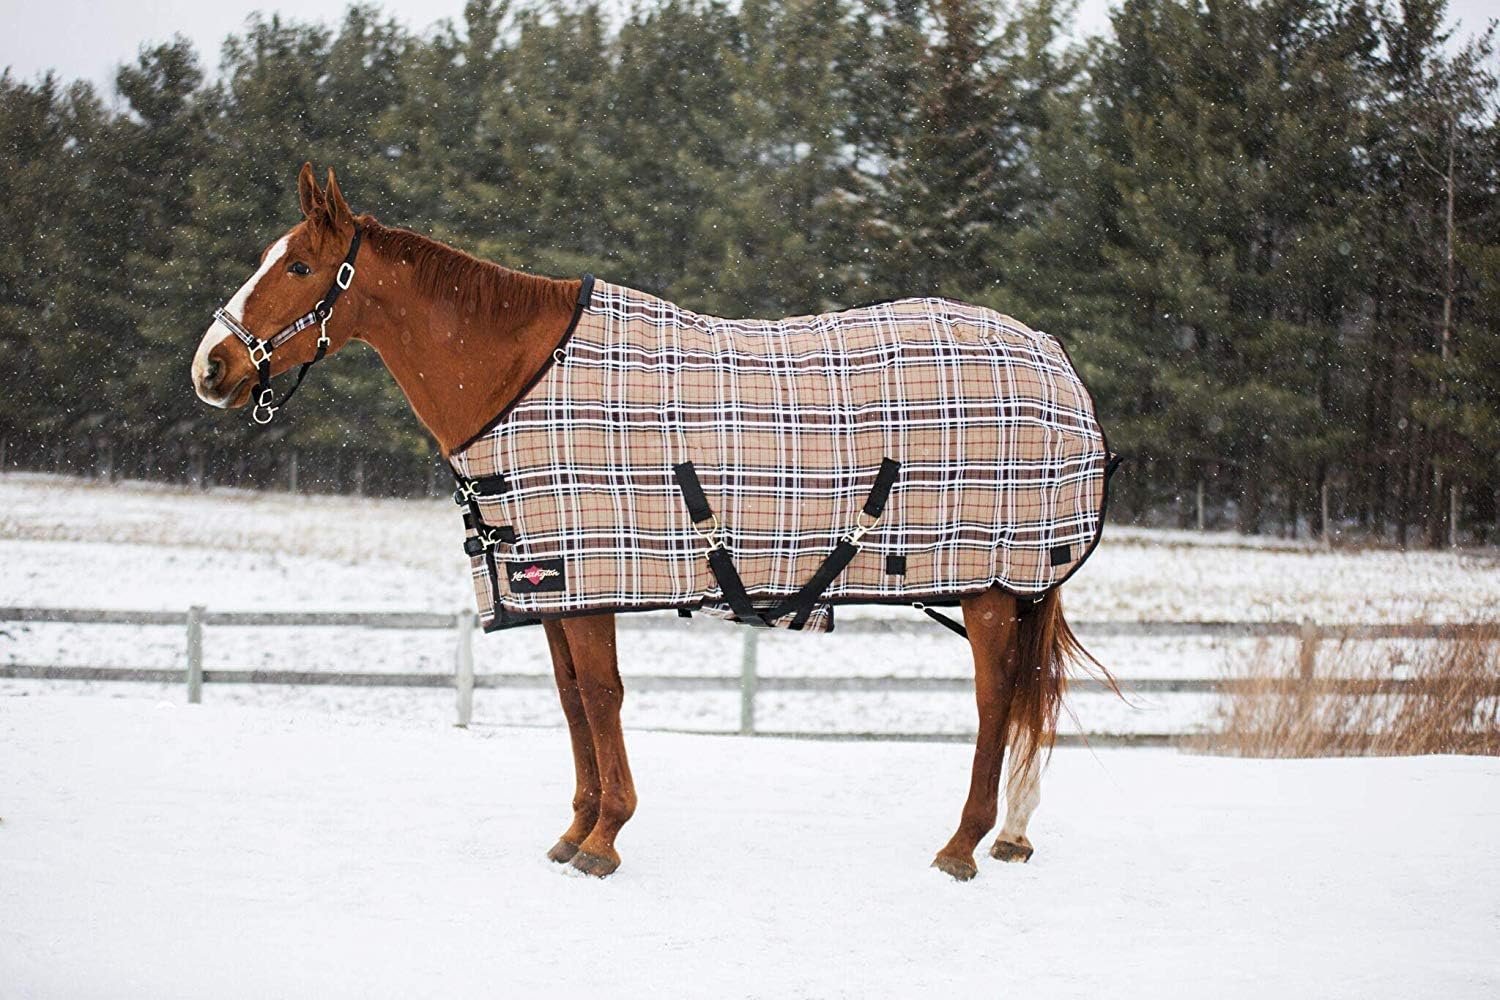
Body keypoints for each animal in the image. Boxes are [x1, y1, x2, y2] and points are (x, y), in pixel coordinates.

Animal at [190, 163, 1110, 880]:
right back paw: (1011, 836)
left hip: (992, 585)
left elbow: (601, 697)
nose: (211, 366)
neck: (523, 377)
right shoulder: (552, 585)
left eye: (299, 265)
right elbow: (572, 701)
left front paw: (605, 836)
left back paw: (962, 844)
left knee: (996, 702)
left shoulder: (590, 578)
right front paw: (575, 828)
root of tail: (1054, 360)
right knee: (1023, 701)